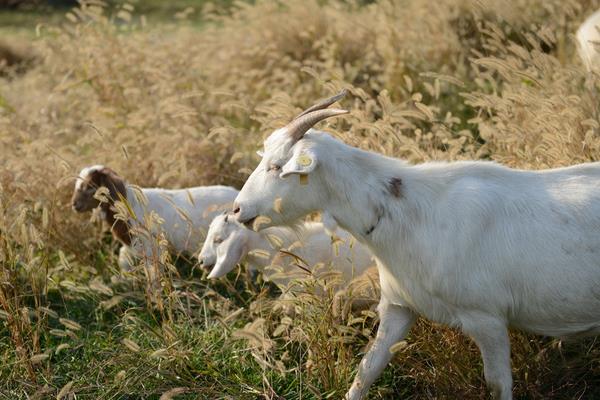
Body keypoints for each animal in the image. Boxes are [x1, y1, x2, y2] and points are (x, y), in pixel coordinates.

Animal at [232, 90, 600, 400]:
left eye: (277, 167)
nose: (237, 209)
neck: (413, 214)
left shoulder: (487, 318)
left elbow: (497, 383)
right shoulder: (399, 305)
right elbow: (367, 369)